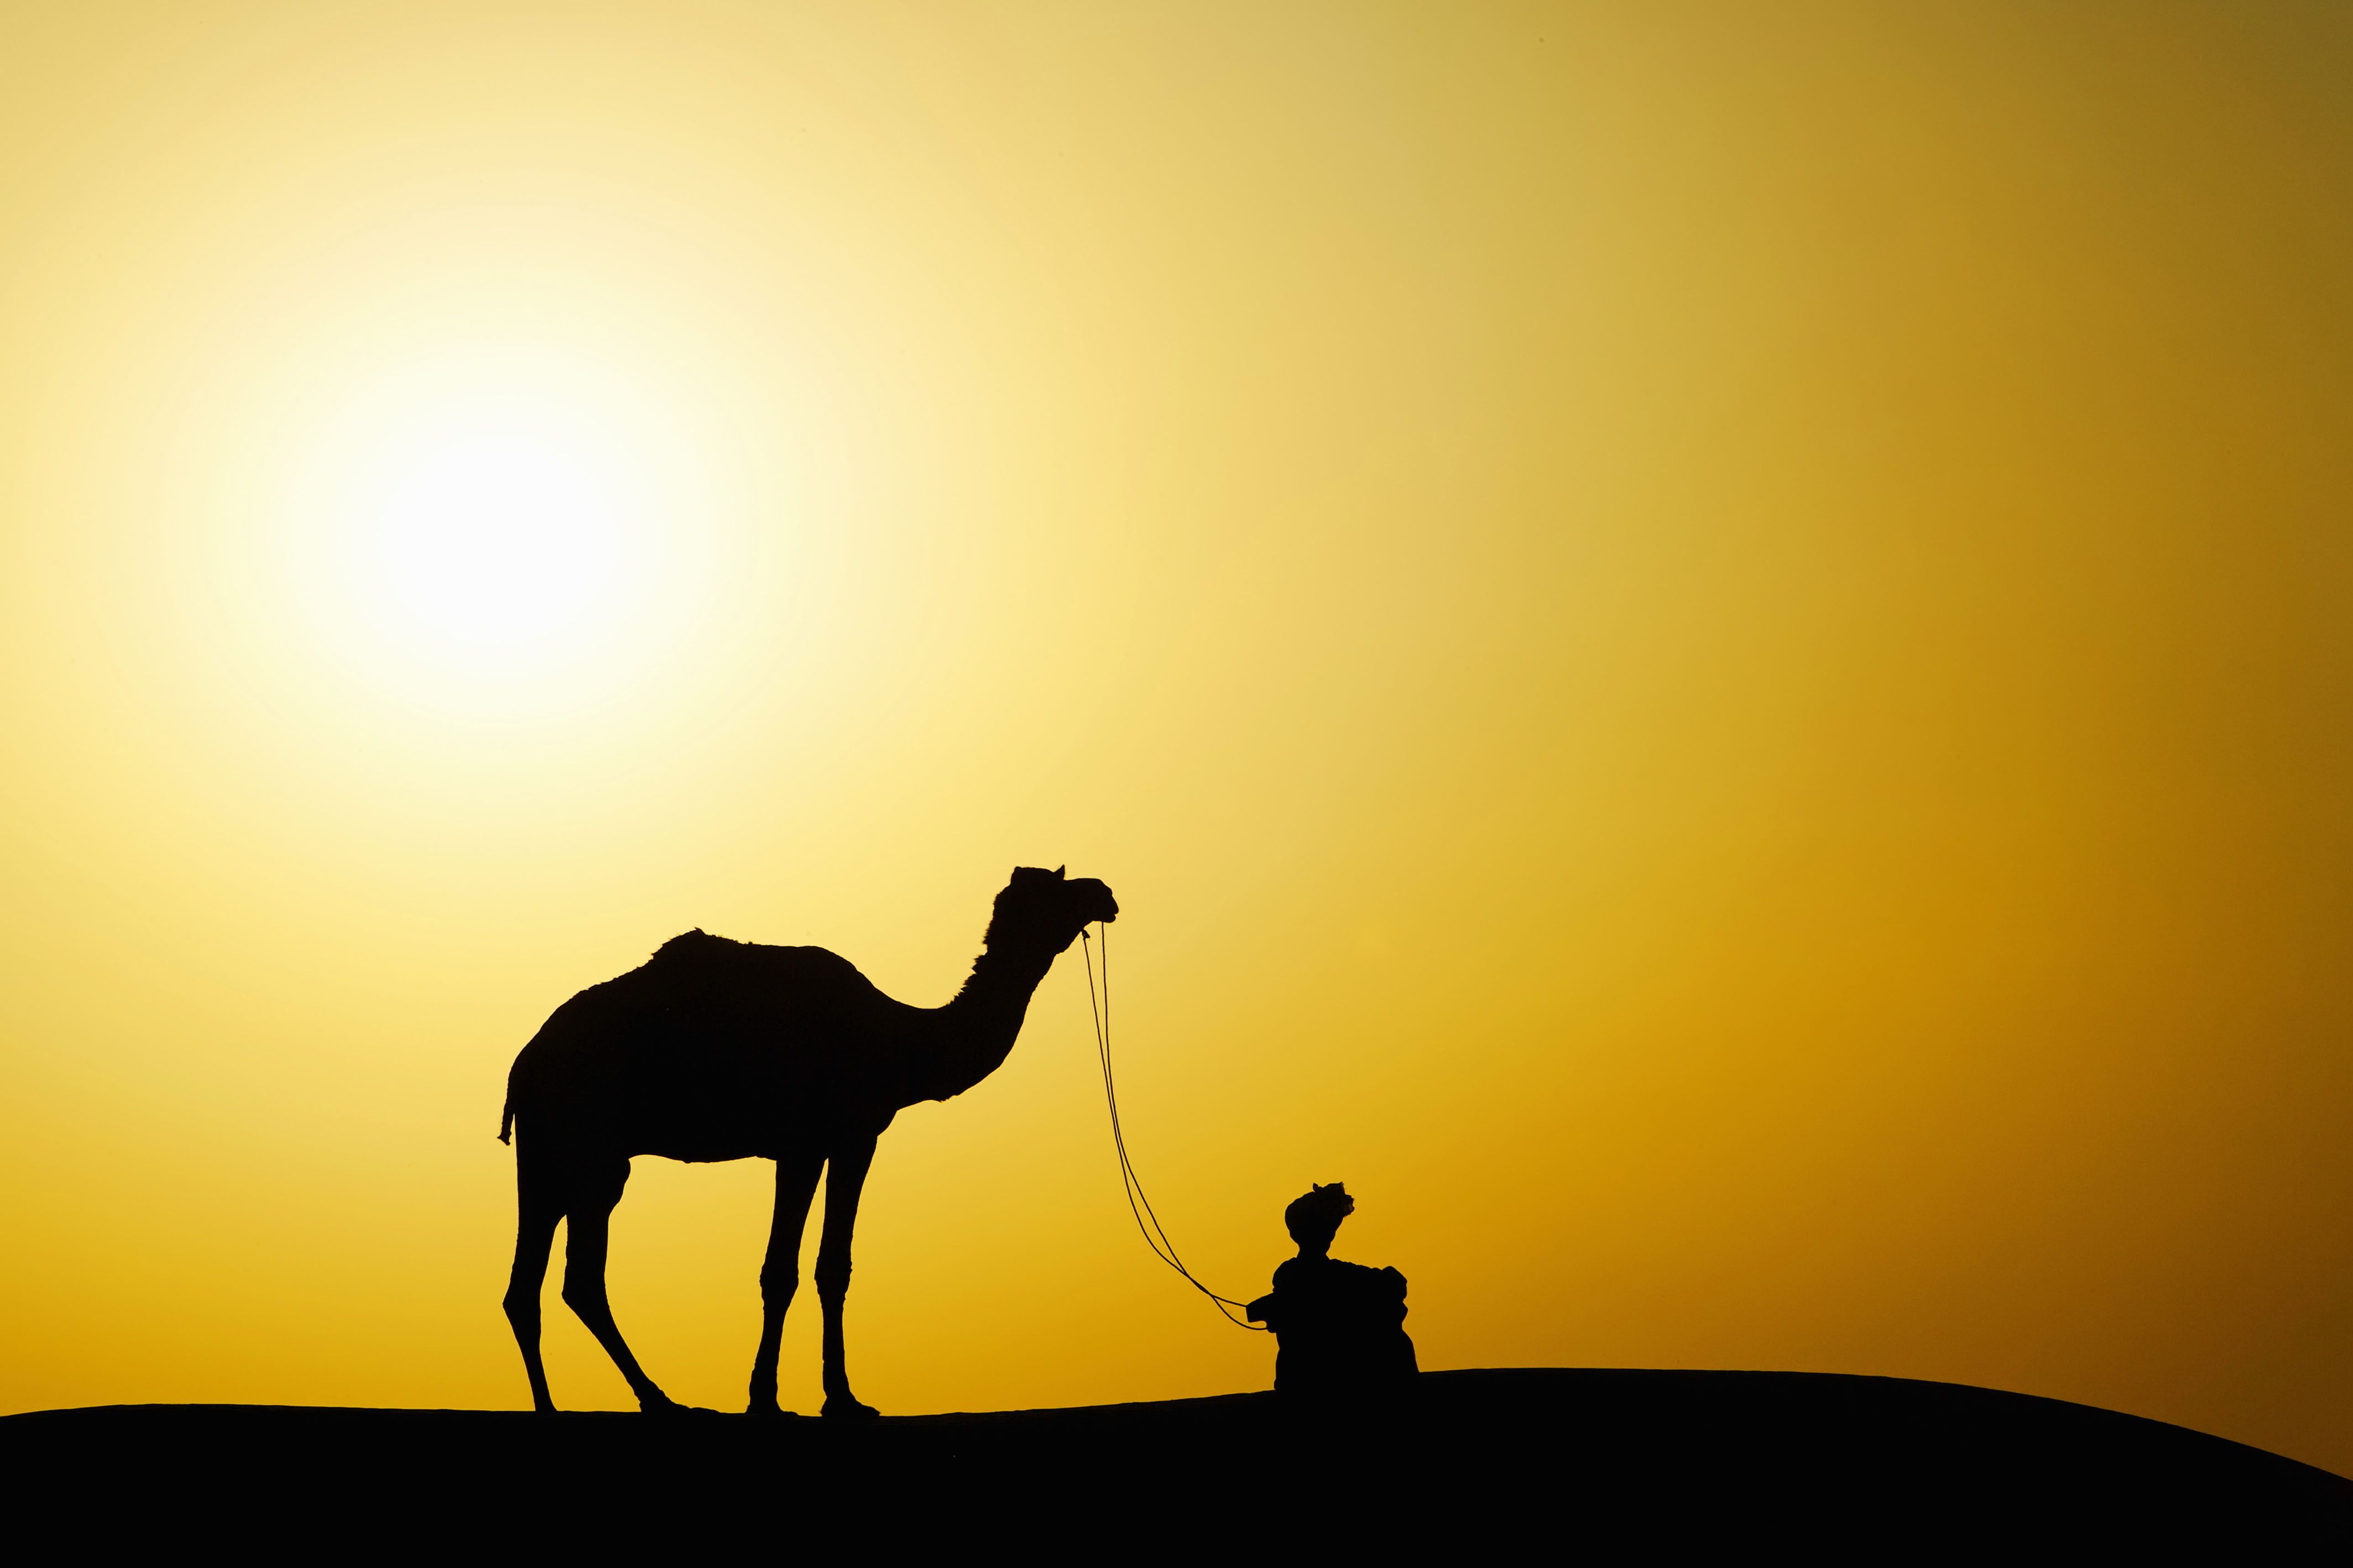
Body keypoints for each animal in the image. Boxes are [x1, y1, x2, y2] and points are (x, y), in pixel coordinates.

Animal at [498, 865, 1118, 1417]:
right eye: (1059, 890)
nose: (1105, 894)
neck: (901, 1040)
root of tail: (524, 1062)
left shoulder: (823, 1143)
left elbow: (818, 1267)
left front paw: (815, 1396)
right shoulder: (834, 1138)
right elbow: (797, 1270)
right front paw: (798, 1400)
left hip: (563, 1155)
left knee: (542, 1282)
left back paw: (579, 1405)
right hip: (583, 1145)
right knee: (571, 1277)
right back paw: (651, 1403)